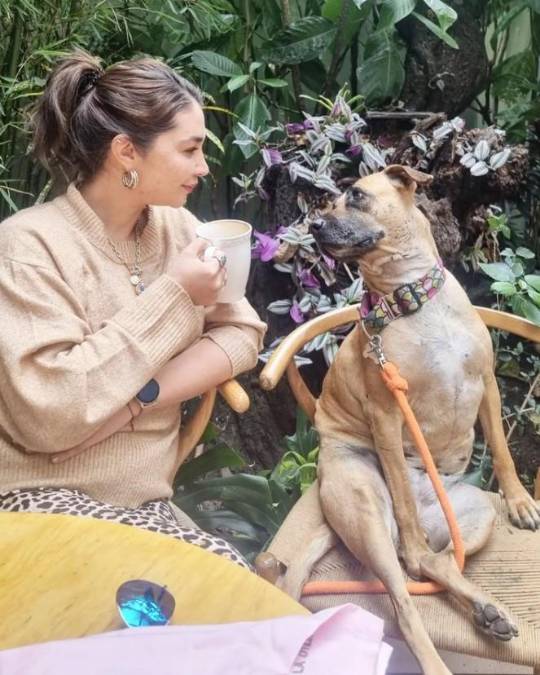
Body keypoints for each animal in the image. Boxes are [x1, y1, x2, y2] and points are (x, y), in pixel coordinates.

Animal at [256, 165, 540, 675]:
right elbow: (404, 501)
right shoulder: (388, 414)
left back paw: (488, 612)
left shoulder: (487, 383)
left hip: (475, 511)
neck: (410, 298)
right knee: (408, 579)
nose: (314, 226)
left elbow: (504, 452)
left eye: (355, 195)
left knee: (438, 563)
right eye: (328, 202)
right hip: (367, 508)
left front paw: (522, 501)